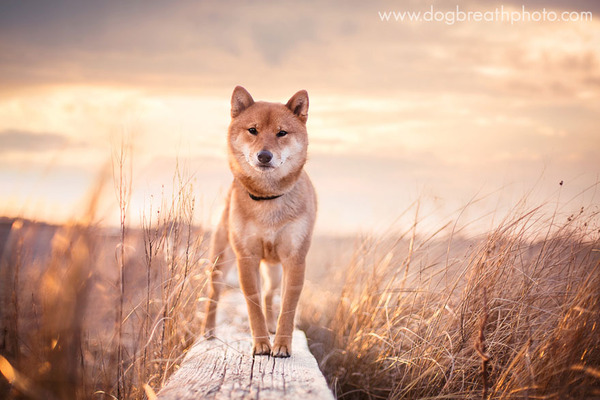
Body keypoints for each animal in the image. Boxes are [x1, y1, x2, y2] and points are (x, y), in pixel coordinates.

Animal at [202, 86, 316, 358]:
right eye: (252, 130)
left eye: (281, 133)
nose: (264, 156)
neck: (268, 199)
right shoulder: (246, 258)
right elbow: (253, 305)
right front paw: (261, 343)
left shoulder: (295, 259)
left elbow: (287, 308)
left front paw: (282, 344)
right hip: (221, 261)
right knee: (213, 295)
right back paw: (208, 332)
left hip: (274, 269)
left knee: (269, 294)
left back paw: (272, 327)